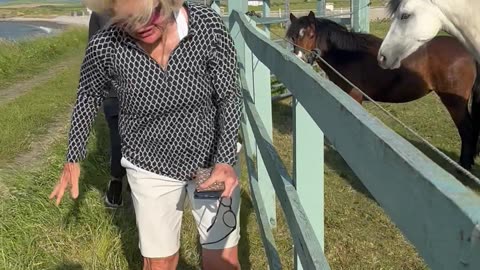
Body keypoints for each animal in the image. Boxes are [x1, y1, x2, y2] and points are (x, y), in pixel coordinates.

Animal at [286, 12, 480, 171]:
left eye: (311, 35)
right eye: (293, 36)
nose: (299, 58)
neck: (348, 55)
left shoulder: (354, 97)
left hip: (454, 102)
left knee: (467, 129)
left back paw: (463, 166)